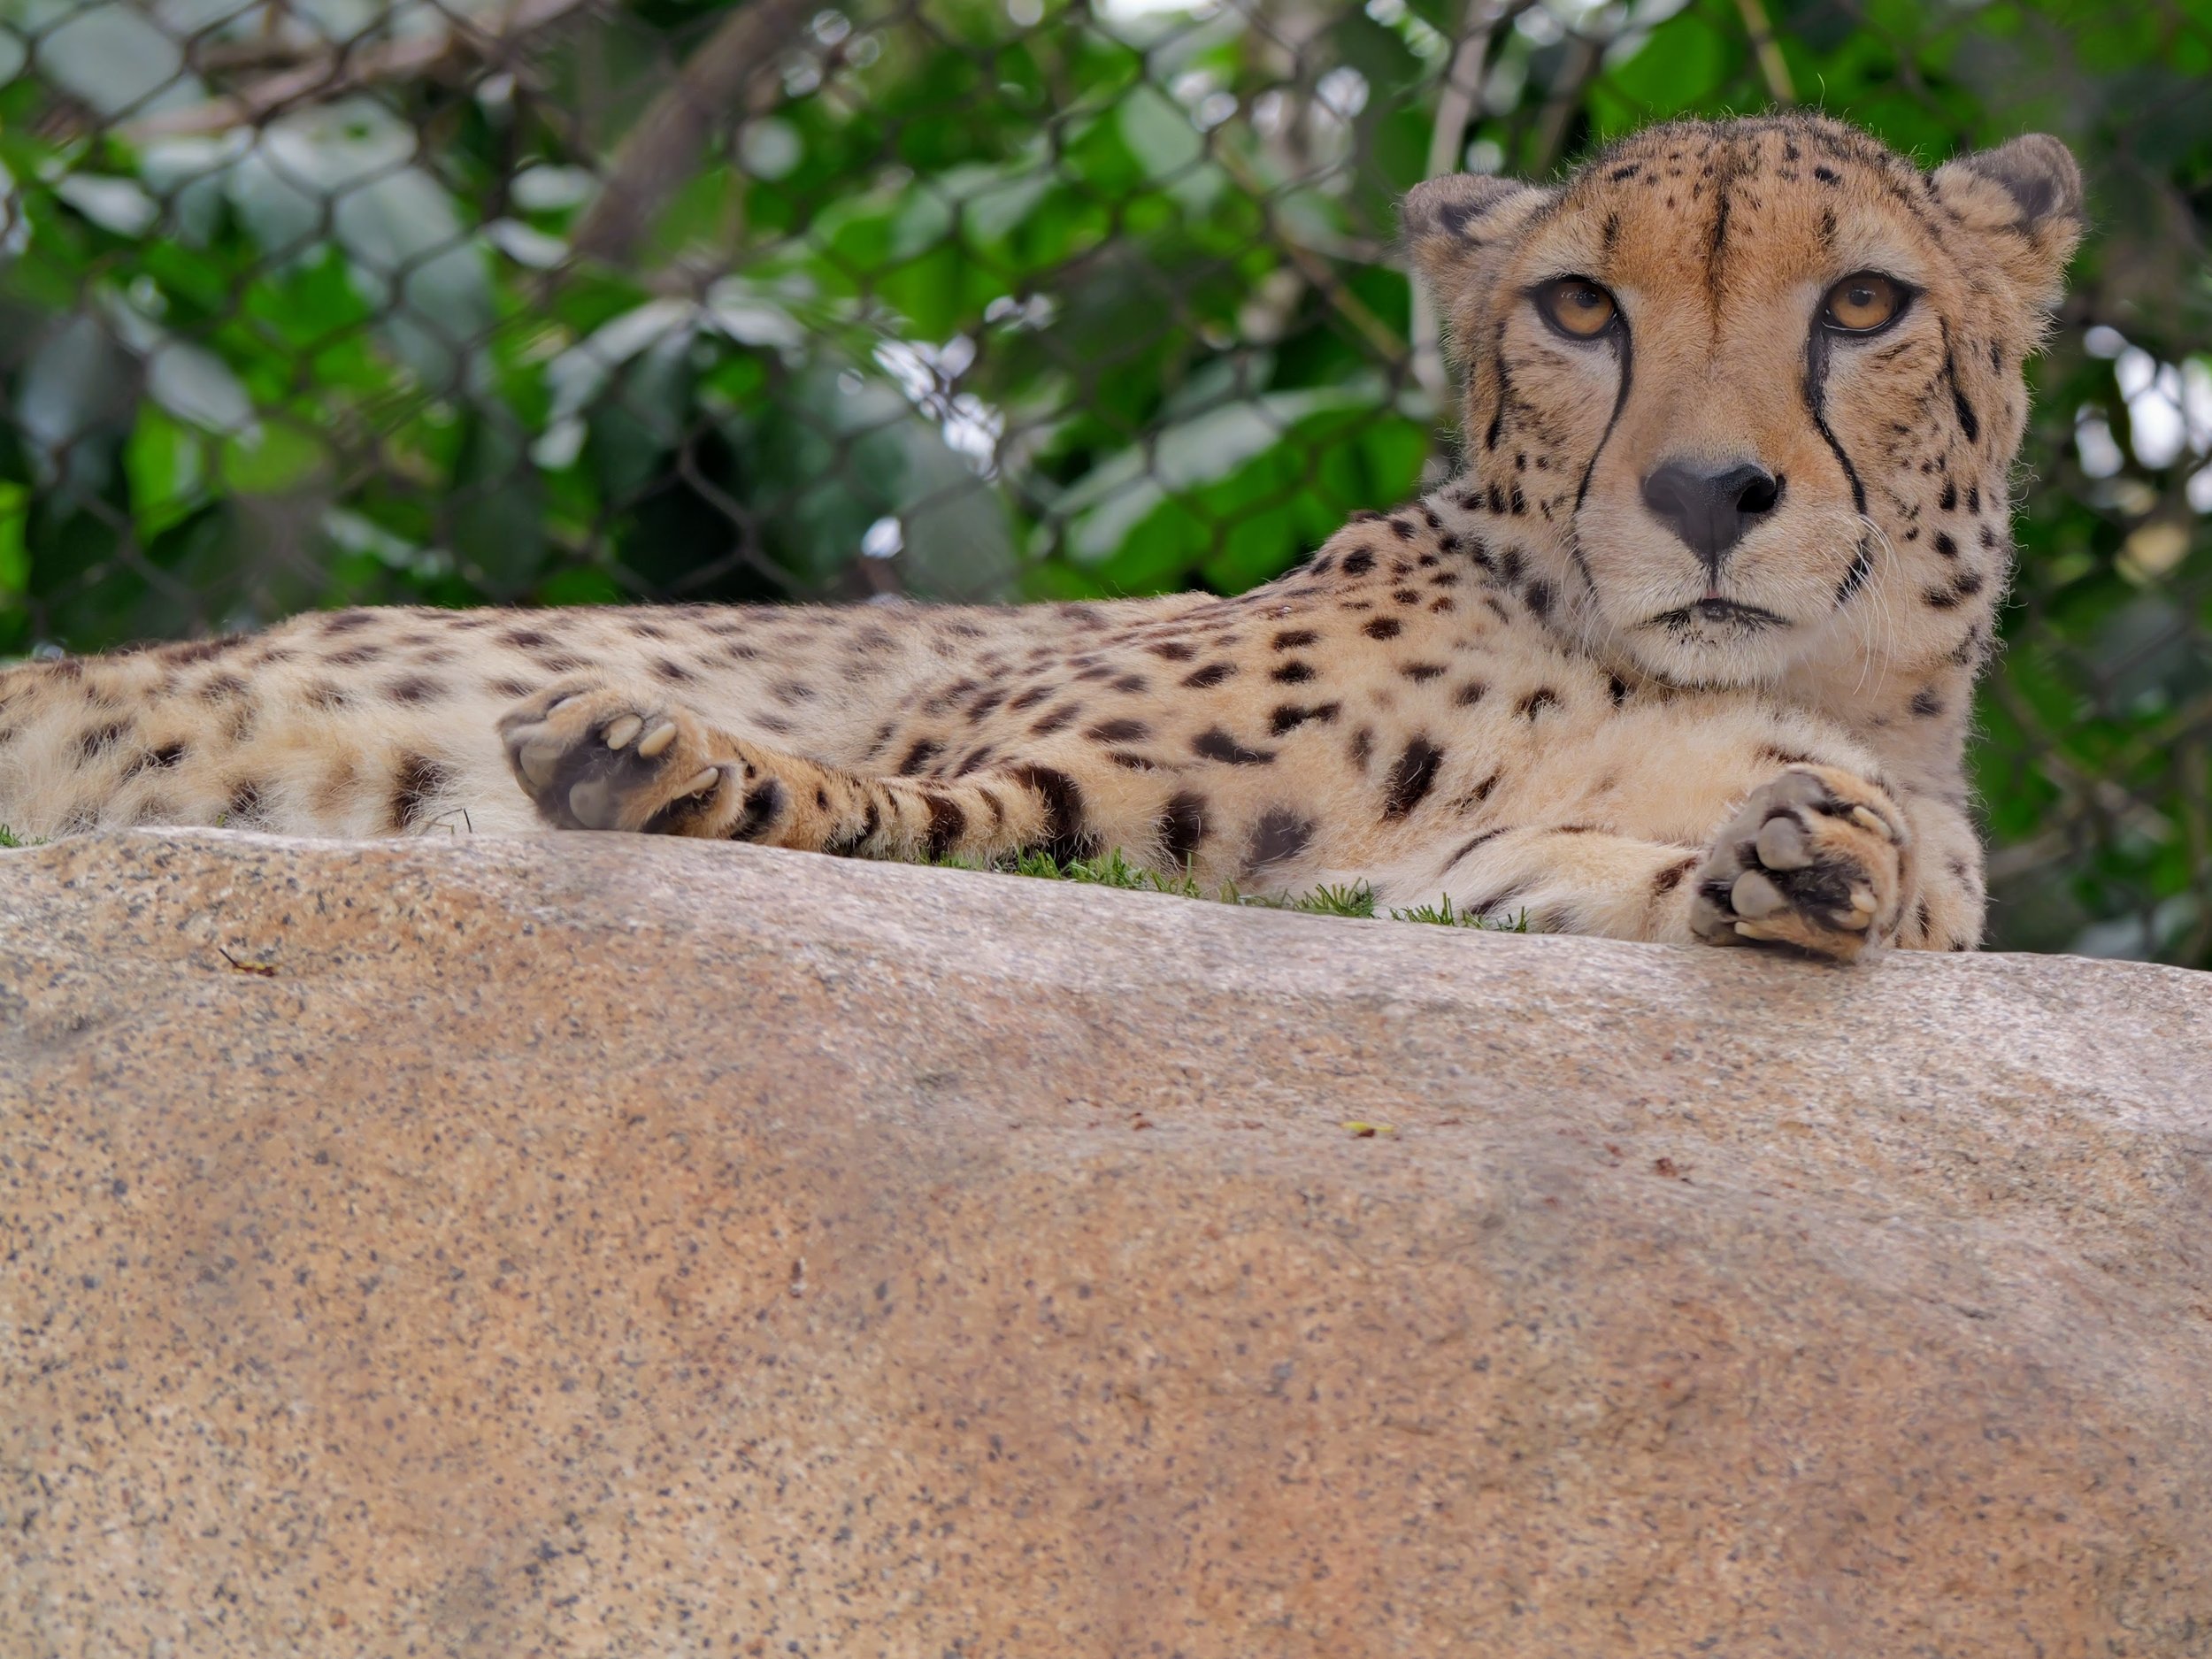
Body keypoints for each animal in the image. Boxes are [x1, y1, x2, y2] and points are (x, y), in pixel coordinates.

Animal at [0, 115, 2082, 963]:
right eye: (1579, 308)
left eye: (1864, 306)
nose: (1706, 496)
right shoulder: (1043, 786)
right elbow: (916, 811)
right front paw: (666, 763)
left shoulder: (1431, 884)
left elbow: (1717, 884)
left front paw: (1811, 857)